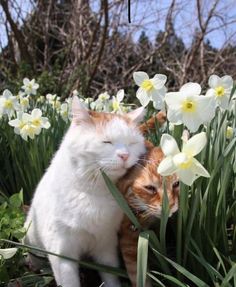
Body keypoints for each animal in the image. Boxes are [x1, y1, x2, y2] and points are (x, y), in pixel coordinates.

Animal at [24, 97, 146, 287]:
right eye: (107, 142)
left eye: (132, 143)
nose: (125, 155)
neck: (94, 192)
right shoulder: (62, 254)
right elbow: (69, 282)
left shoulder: (106, 246)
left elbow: (111, 278)